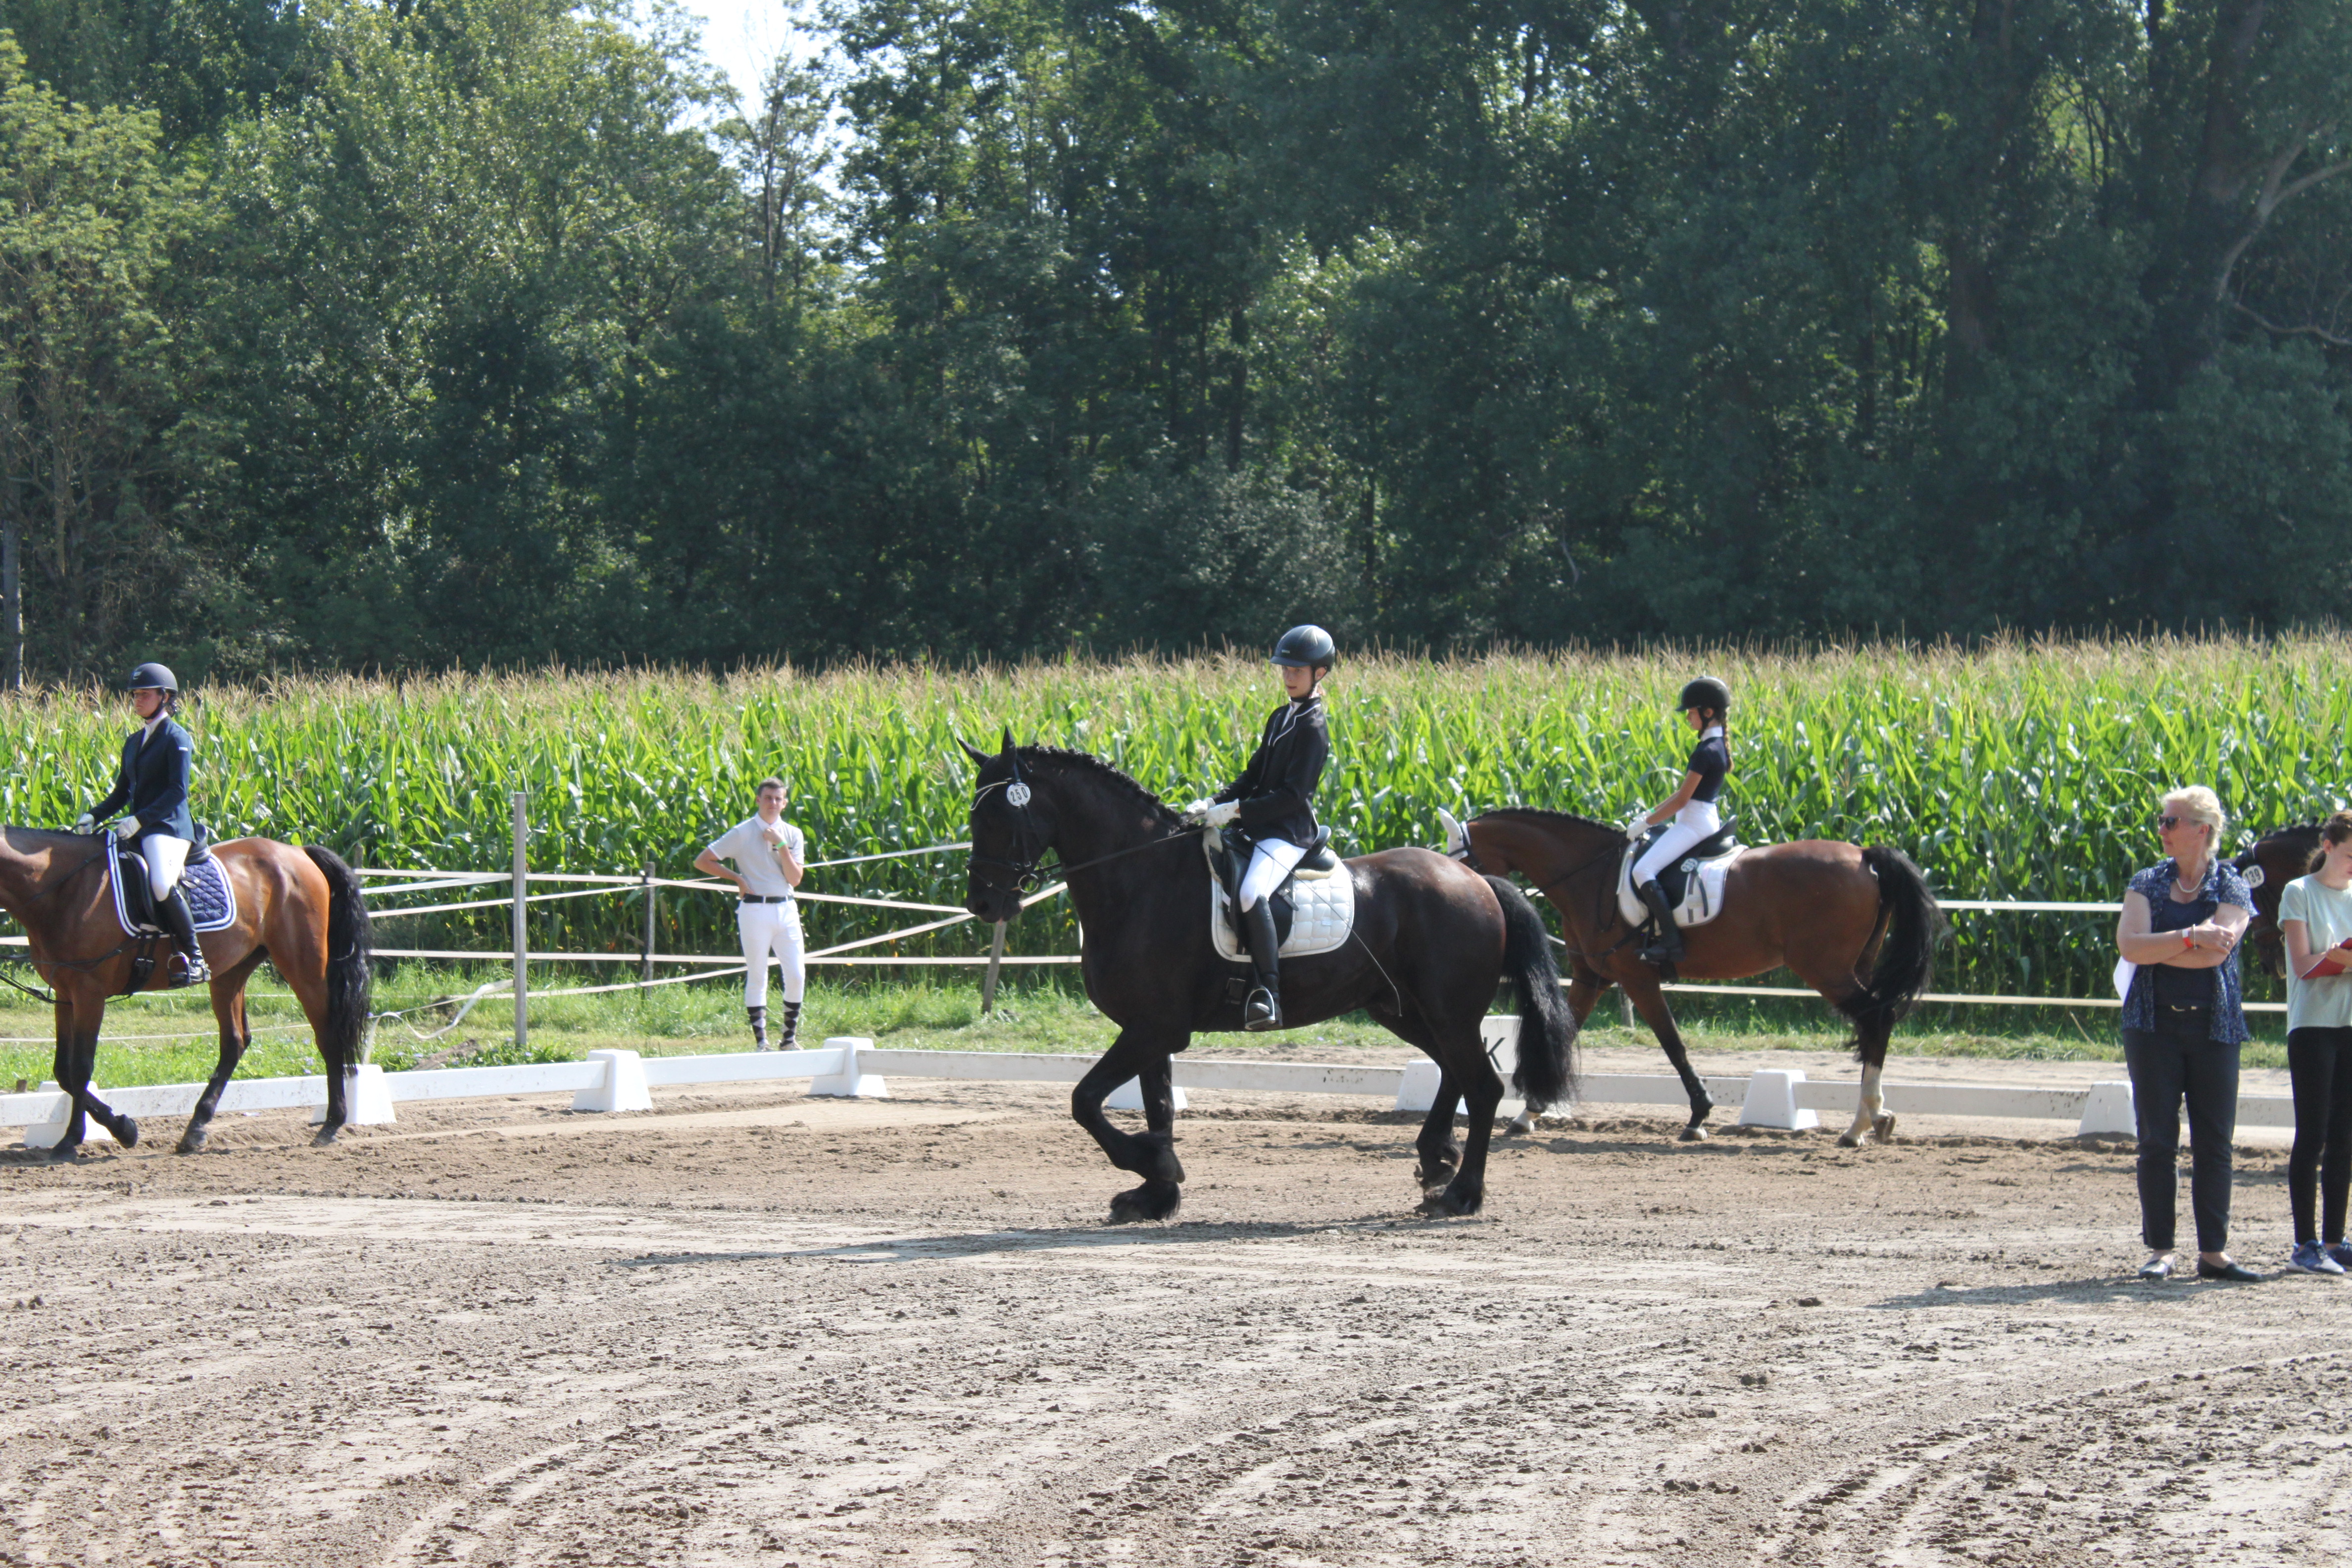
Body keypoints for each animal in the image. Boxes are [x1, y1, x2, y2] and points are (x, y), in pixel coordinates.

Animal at [0, 829, 373, 1159]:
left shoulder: (89, 992)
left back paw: (331, 1125)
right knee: (235, 1042)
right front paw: (112, 1130)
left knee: (328, 1035)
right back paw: (195, 1130)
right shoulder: (66, 994)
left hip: (303, 965)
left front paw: (90, 1137)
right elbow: (64, 1070)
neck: (63, 889)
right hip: (229, 972)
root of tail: (298, 853)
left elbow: (80, 1069)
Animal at [958, 735, 1580, 1220]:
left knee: (1484, 1086)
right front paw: (1155, 1194)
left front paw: (1154, 1166)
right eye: (971, 816)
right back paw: (1435, 1160)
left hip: (1447, 1009)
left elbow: (1084, 1100)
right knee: (1455, 1072)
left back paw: (1461, 1194)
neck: (1140, 878)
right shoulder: (1150, 1029)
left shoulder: (1154, 1028)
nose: (983, 905)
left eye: (999, 816)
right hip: (1402, 1008)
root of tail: (1474, 879)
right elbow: (1157, 1107)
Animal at [1443, 809, 1943, 1146]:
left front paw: (1699, 1117)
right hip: (1852, 966)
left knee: (1876, 1019)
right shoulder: (1594, 977)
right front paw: (1529, 1113)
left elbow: (1673, 1044)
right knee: (1874, 1024)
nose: (1461, 898)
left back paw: (1860, 1125)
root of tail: (1863, 854)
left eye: (1461, 860)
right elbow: (1563, 1031)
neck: (1591, 876)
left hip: (1826, 969)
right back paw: (1872, 1119)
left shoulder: (1637, 978)